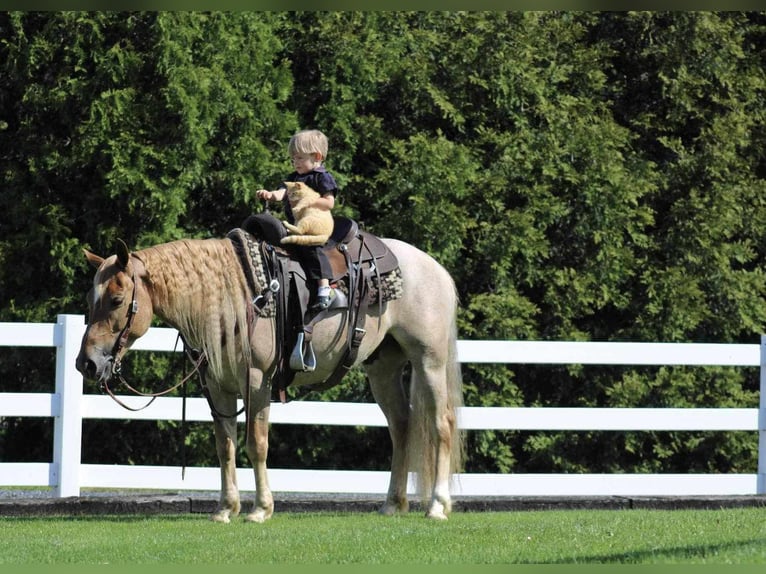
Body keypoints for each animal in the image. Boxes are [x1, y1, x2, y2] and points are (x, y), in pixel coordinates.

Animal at [76, 227, 462, 524]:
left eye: (116, 299)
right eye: (90, 299)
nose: (87, 363)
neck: (230, 298)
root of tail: (435, 269)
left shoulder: (257, 381)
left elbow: (256, 444)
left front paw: (260, 509)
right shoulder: (217, 387)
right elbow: (225, 447)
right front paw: (225, 509)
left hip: (429, 360)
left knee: (441, 424)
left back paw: (437, 506)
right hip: (383, 369)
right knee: (401, 427)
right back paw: (392, 505)